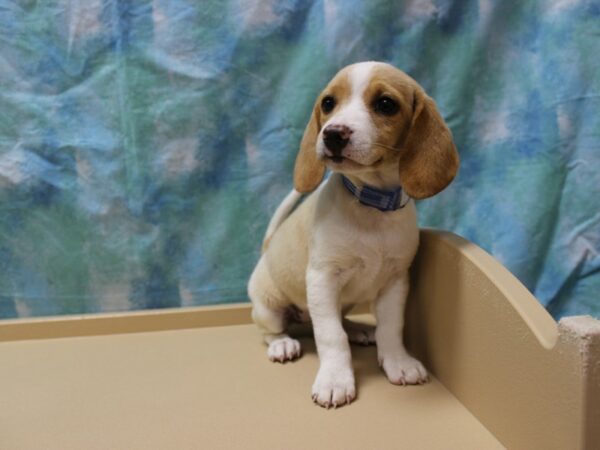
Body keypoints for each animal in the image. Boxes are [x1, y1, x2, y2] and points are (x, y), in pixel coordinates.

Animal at [248, 61, 460, 410]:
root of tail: (265, 252)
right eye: (328, 103)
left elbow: (391, 327)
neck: (371, 206)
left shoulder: (395, 282)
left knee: (335, 321)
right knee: (270, 330)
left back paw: (358, 330)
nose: (333, 134)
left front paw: (398, 361)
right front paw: (335, 379)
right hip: (270, 308)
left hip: (343, 301)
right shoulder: (322, 279)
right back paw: (282, 344)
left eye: (386, 104)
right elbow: (330, 336)